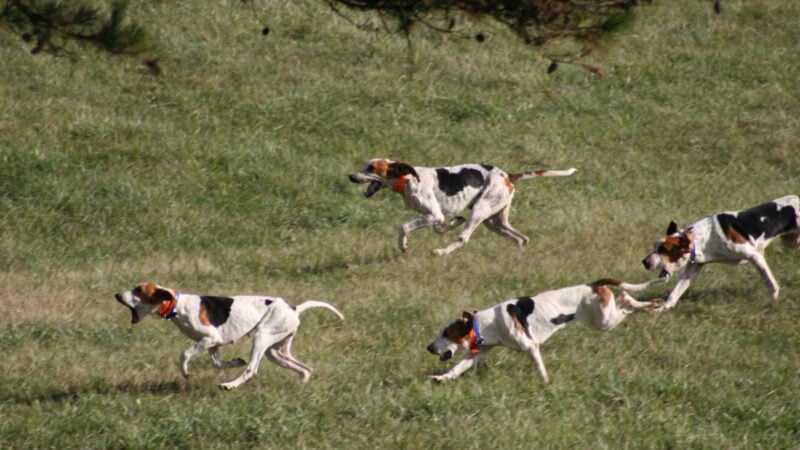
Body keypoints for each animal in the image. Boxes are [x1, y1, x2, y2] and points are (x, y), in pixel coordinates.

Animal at [115, 284, 344, 388]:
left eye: (138, 290)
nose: (117, 294)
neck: (177, 305)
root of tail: (293, 308)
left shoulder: (209, 338)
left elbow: (184, 354)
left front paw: (186, 372)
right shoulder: (213, 344)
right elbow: (218, 362)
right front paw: (234, 362)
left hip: (261, 338)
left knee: (251, 370)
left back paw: (230, 385)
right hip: (276, 352)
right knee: (305, 369)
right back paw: (302, 382)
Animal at [348, 160, 576, 255]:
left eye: (371, 168)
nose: (351, 176)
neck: (406, 179)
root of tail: (507, 175)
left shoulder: (433, 214)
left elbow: (404, 227)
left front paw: (403, 246)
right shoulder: (434, 217)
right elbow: (441, 227)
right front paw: (455, 221)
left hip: (480, 211)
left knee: (463, 239)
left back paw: (441, 252)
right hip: (495, 221)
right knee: (522, 238)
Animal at [424, 278, 664, 384]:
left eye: (446, 334)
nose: (428, 348)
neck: (484, 323)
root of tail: (593, 284)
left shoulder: (531, 346)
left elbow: (540, 368)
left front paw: (546, 383)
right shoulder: (479, 352)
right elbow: (457, 367)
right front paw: (441, 378)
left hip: (605, 320)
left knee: (627, 302)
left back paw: (651, 305)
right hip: (606, 318)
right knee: (625, 299)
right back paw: (651, 305)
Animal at [644, 195, 800, 312]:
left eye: (663, 249)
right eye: (655, 247)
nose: (644, 262)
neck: (704, 239)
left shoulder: (755, 256)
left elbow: (770, 281)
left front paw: (774, 299)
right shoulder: (692, 268)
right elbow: (675, 292)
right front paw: (661, 308)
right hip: (792, 242)